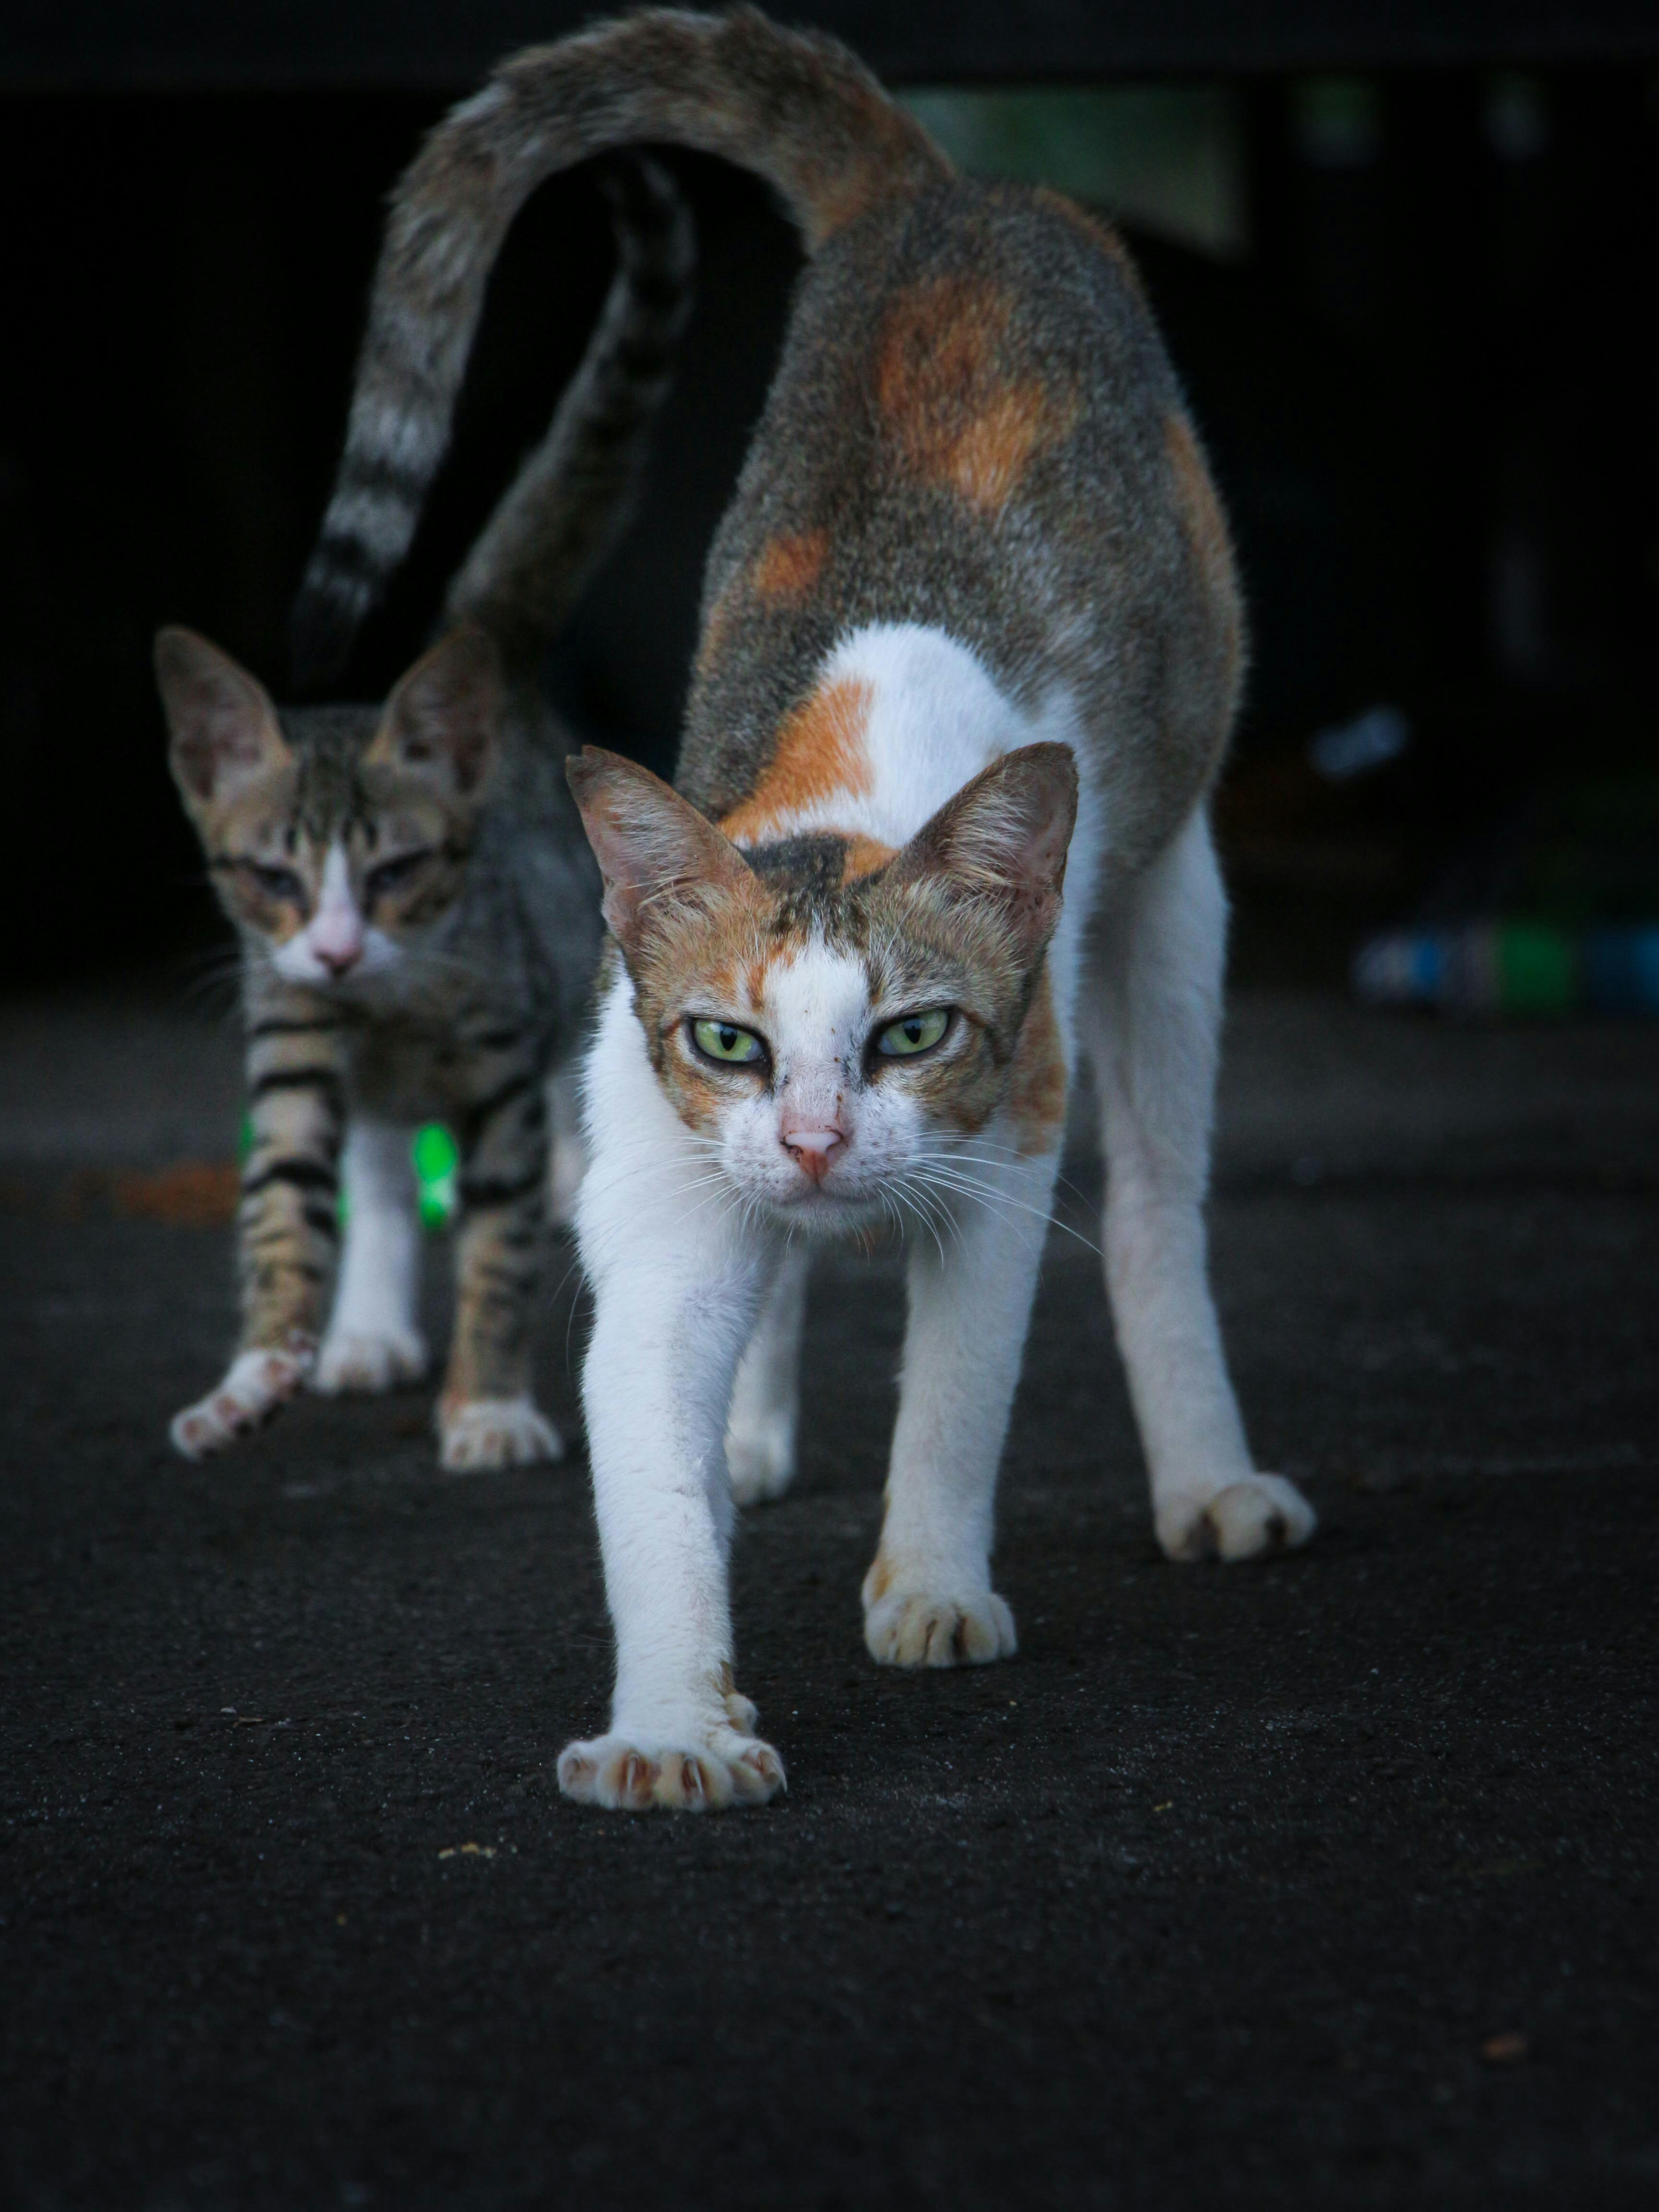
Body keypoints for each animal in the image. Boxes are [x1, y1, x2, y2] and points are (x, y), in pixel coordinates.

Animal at [160, 153, 694, 1474]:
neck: (389, 1010)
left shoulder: (500, 1070)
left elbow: (501, 1247)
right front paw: (259, 1372)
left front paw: (488, 1402)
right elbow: (288, 1206)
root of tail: (491, 642)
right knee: (385, 1163)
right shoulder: (291, 1032)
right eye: (273, 878)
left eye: (398, 870)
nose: (342, 948)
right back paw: (365, 1324)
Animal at [293, 7, 1317, 1808]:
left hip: (1176, 882)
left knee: (1156, 1203)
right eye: (727, 1040)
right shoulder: (656, 1177)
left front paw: (930, 1585)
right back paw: (756, 1432)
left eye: (913, 1032)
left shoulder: (1008, 1139)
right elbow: (651, 1447)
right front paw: (674, 1719)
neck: (836, 794)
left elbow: (956, 1394)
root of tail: (937, 195)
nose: (823, 1140)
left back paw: (1207, 1473)